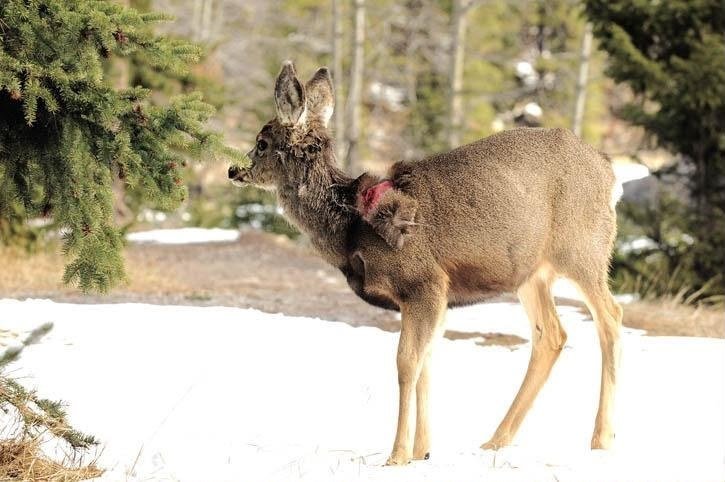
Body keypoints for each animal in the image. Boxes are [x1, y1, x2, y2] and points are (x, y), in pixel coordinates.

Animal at [228, 61, 624, 466]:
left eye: (262, 142)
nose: (233, 170)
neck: (352, 225)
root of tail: (611, 174)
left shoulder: (423, 283)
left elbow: (406, 364)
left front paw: (397, 455)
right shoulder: (435, 296)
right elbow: (427, 363)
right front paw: (423, 451)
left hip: (583, 249)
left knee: (610, 317)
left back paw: (601, 438)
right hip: (530, 272)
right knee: (552, 334)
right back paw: (496, 439)